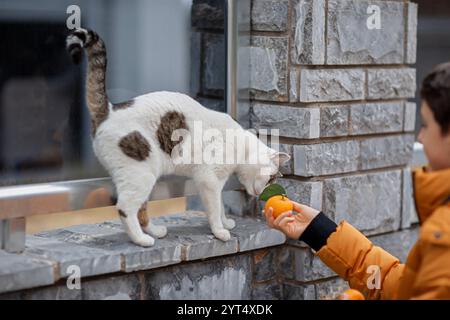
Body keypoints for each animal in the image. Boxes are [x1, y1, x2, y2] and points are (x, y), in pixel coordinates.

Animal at [65, 28, 288, 248]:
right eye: (271, 178)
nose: (265, 191)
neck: (239, 144)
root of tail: (109, 110)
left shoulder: (216, 182)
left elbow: (220, 206)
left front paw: (226, 223)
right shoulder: (208, 180)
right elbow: (215, 209)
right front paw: (220, 231)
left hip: (144, 176)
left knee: (141, 209)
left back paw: (155, 231)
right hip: (141, 174)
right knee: (125, 208)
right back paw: (142, 240)